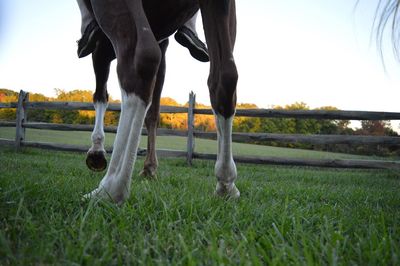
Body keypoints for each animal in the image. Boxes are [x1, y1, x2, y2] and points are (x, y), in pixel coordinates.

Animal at [81, 0, 238, 206]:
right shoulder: (162, 44)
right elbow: (153, 114)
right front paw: (150, 168)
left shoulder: (101, 48)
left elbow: (100, 96)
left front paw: (97, 151)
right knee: (225, 77)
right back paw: (225, 184)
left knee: (139, 62)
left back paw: (111, 188)